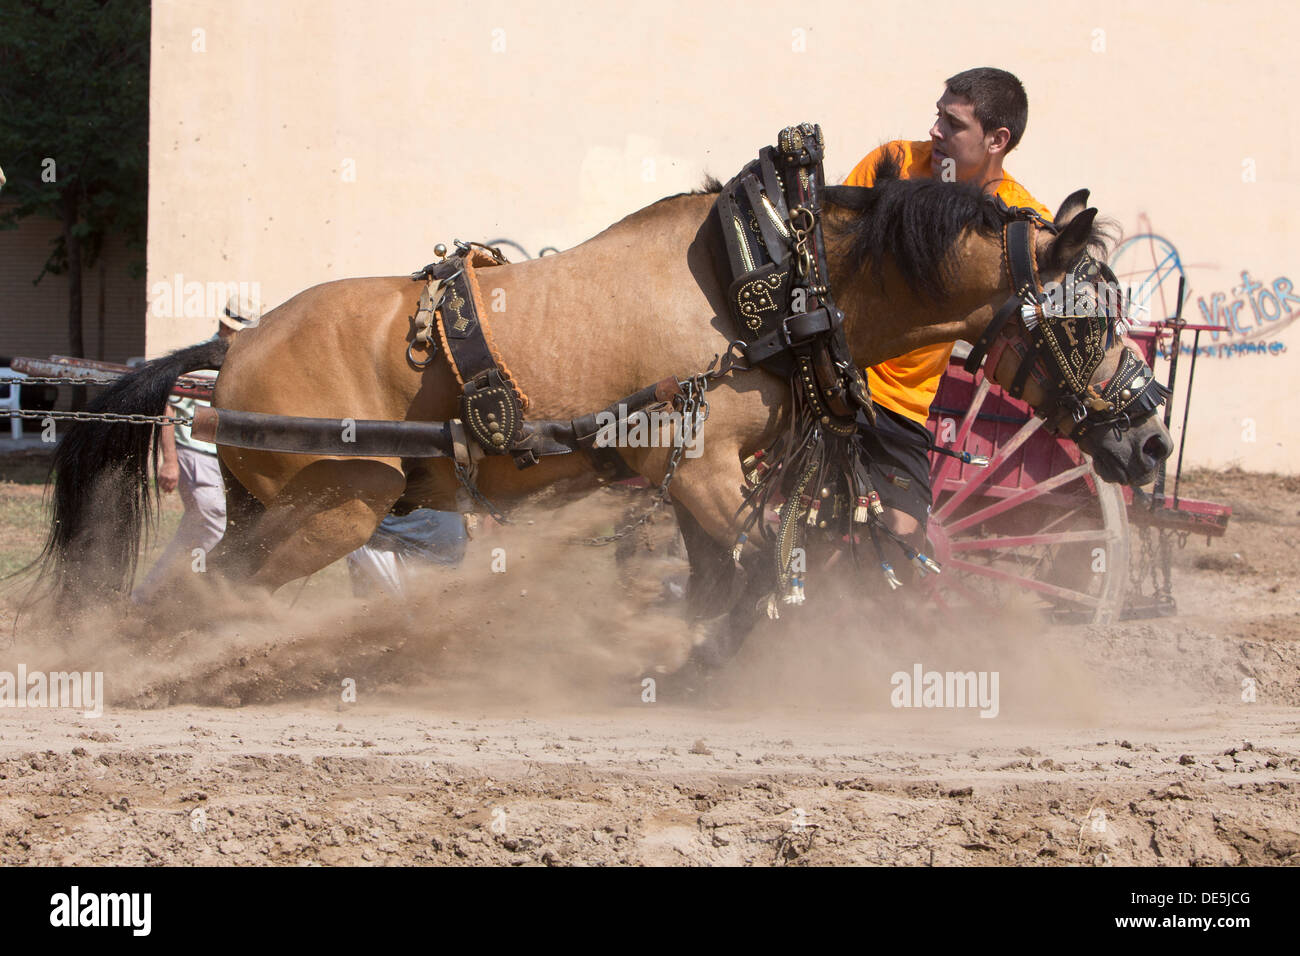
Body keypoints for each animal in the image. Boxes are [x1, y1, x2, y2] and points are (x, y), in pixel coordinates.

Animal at [30, 157, 1175, 665]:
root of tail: (233, 345)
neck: (769, 285)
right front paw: (708, 658)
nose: (1152, 432)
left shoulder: (690, 481)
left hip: (294, 506)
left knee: (201, 584)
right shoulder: (703, 470)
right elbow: (748, 577)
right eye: (1089, 309)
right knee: (213, 590)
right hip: (338, 504)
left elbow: (724, 579)